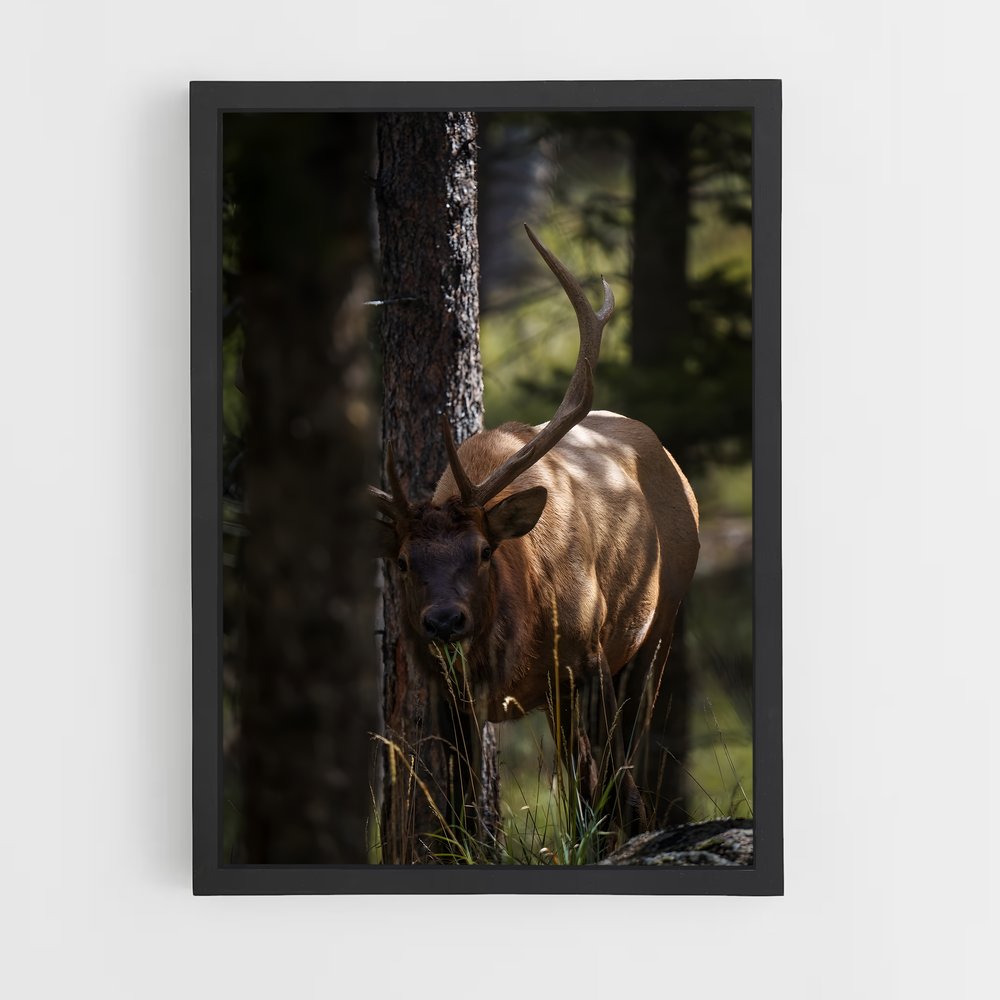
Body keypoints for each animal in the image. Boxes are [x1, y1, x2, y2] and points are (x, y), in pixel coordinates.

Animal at [371, 225, 700, 832]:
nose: (444, 620)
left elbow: (614, 794)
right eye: (403, 561)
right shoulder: (449, 692)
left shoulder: (588, 657)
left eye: (482, 550)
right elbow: (462, 815)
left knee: (623, 775)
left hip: (657, 627)